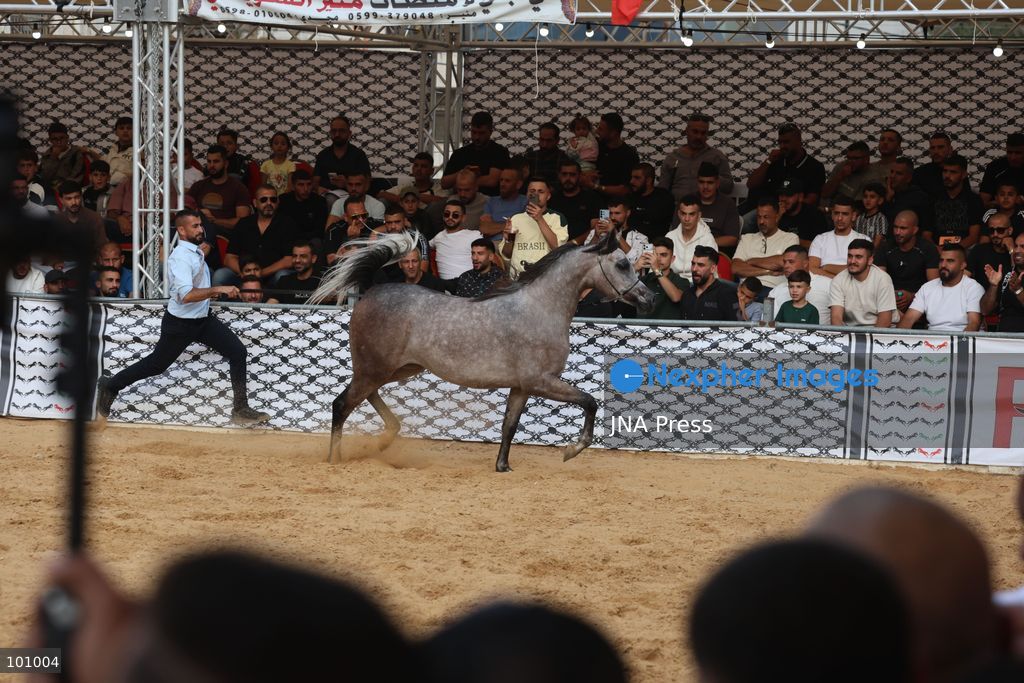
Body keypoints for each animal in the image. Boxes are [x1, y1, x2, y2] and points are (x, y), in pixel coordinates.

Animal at [309, 228, 655, 472]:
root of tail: (370, 292)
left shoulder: (521, 387)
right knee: (342, 404)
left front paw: (503, 466)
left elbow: (509, 426)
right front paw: (571, 451)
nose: (647, 299)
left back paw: (384, 439)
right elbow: (590, 402)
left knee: (366, 397)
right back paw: (335, 458)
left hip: (396, 368)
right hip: (375, 368)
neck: (540, 307)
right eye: (622, 263)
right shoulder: (541, 381)